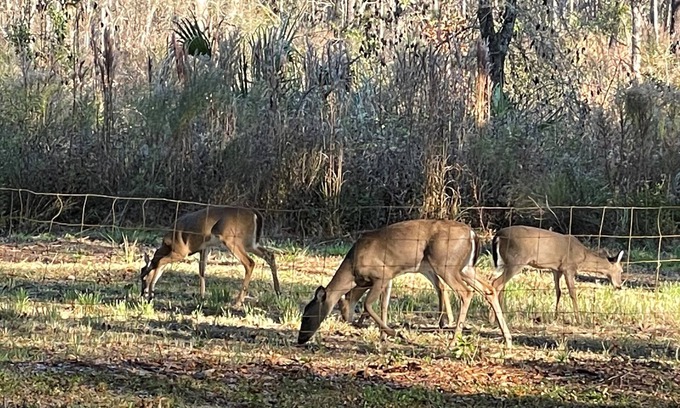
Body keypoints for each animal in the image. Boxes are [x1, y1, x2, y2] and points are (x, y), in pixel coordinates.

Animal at [139, 206, 280, 307]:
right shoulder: (204, 248)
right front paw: (202, 297)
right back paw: (278, 291)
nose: (142, 294)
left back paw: (238, 301)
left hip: (232, 239)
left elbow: (158, 263)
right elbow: (201, 270)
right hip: (250, 243)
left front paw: (151, 294)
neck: (168, 244)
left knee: (250, 262)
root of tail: (255, 214)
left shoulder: (181, 251)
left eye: (143, 277)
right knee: (270, 255)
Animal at [297, 219, 513, 347]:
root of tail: (473, 234)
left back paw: (453, 341)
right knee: (489, 288)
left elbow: (368, 304)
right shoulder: (388, 278)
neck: (353, 269)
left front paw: (393, 332)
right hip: (465, 267)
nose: (300, 339)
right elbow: (383, 305)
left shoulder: (381, 274)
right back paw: (507, 338)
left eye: (306, 316)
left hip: (446, 265)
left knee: (466, 292)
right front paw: (383, 337)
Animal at [488, 225, 624, 324]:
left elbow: (558, 291)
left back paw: (501, 316)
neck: (582, 257)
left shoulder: (556, 269)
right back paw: (493, 319)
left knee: (497, 282)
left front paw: (555, 316)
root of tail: (498, 235)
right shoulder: (568, 268)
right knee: (497, 283)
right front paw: (579, 320)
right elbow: (573, 293)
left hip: (503, 262)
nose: (619, 286)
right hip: (517, 260)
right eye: (621, 271)